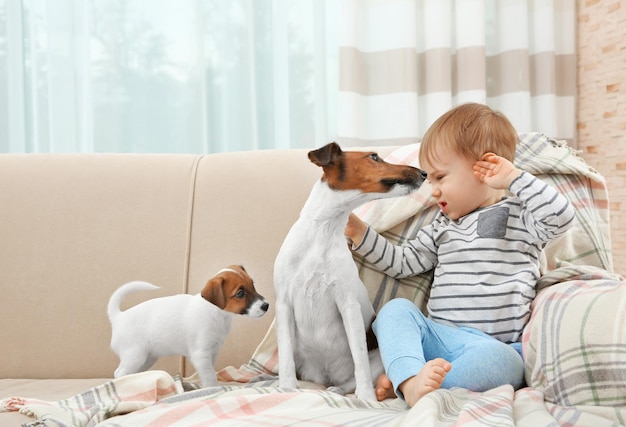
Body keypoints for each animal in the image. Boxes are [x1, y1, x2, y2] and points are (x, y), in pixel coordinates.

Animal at [108, 264, 268, 388]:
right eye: (240, 293)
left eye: (253, 285)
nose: (266, 306)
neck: (216, 313)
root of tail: (118, 317)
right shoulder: (201, 354)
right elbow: (210, 376)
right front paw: (213, 389)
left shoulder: (213, 352)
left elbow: (208, 372)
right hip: (135, 355)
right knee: (120, 373)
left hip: (147, 358)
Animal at [272, 144, 424, 402]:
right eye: (374, 156)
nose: (424, 173)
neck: (323, 230)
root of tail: (325, 377)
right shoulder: (284, 304)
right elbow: (285, 359)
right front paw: (287, 388)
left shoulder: (348, 306)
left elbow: (359, 357)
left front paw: (366, 398)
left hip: (378, 359)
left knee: (350, 380)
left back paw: (348, 389)